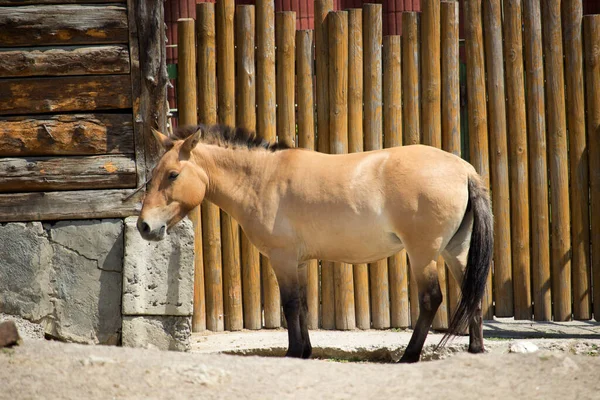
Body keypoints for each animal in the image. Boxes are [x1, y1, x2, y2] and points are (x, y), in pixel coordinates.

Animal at [138, 124, 494, 362]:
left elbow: (290, 305)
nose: (144, 226)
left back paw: (409, 355)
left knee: (432, 299)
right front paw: (306, 350)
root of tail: (464, 169)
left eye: (172, 174)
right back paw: (475, 348)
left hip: (423, 254)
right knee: (472, 292)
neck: (261, 179)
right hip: (455, 251)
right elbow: (304, 304)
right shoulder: (299, 261)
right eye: (152, 175)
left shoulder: (282, 258)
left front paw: (294, 351)